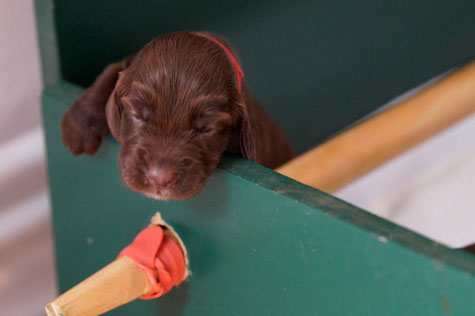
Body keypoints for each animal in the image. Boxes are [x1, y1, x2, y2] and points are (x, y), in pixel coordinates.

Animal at [61, 32, 294, 200]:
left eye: (206, 129)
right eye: (138, 115)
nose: (159, 179)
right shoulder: (129, 63)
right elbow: (110, 73)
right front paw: (78, 128)